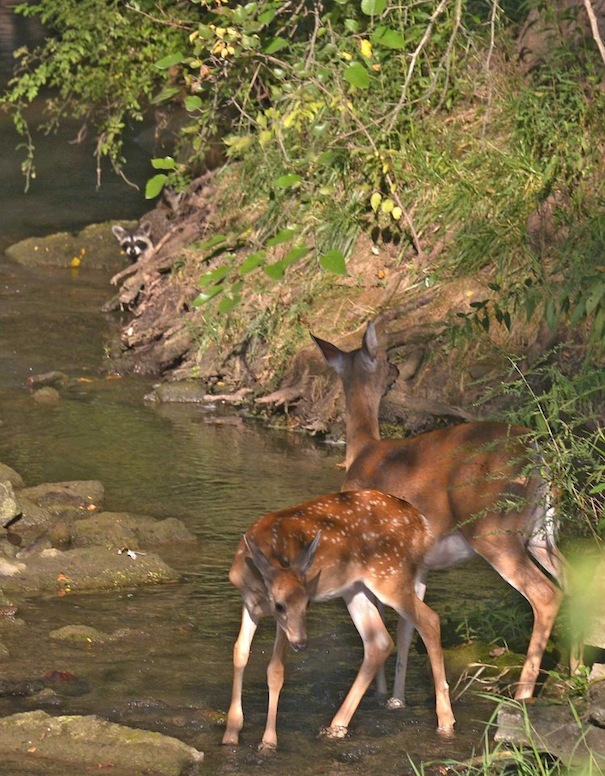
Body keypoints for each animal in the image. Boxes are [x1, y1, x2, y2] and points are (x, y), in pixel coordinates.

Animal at [222, 489, 455, 751]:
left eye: (308, 603)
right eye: (279, 605)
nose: (301, 643)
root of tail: (421, 522)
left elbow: (275, 670)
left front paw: (268, 741)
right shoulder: (249, 605)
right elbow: (240, 653)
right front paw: (231, 733)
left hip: (390, 576)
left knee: (429, 620)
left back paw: (445, 720)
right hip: (355, 588)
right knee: (380, 641)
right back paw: (336, 728)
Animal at [312, 320, 566, 709]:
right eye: (387, 359)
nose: (397, 371)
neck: (363, 451)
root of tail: (538, 449)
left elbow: (385, 621)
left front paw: (383, 693)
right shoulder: (418, 564)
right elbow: (406, 629)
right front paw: (396, 699)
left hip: (494, 530)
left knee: (545, 595)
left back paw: (523, 692)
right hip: (541, 531)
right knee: (574, 578)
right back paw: (572, 671)